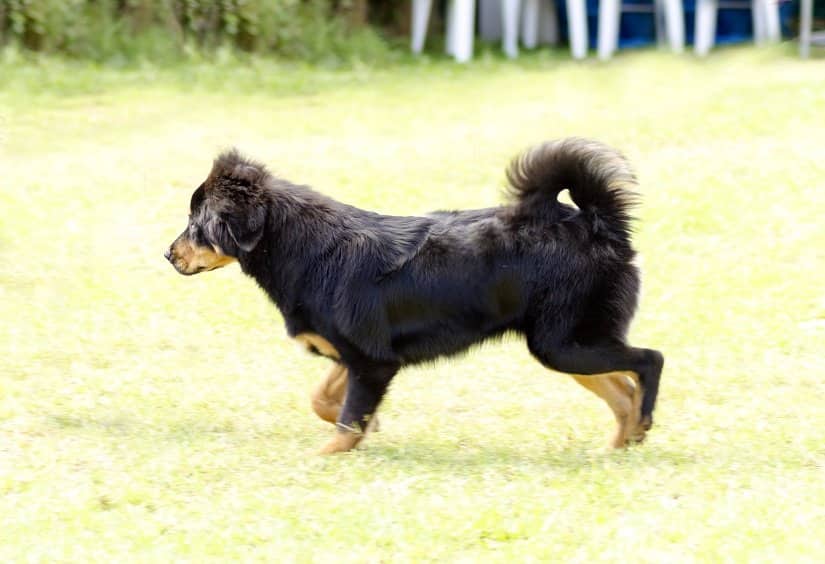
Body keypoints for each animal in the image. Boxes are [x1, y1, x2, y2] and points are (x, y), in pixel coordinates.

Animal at [166, 139, 664, 452]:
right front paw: (369, 428)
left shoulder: (372, 362)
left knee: (648, 362)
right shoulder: (362, 357)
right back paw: (624, 443)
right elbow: (326, 400)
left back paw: (642, 423)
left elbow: (344, 421)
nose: (168, 254)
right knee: (623, 390)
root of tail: (596, 224)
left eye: (196, 224)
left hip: (564, 343)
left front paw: (330, 455)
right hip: (566, 345)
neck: (305, 248)